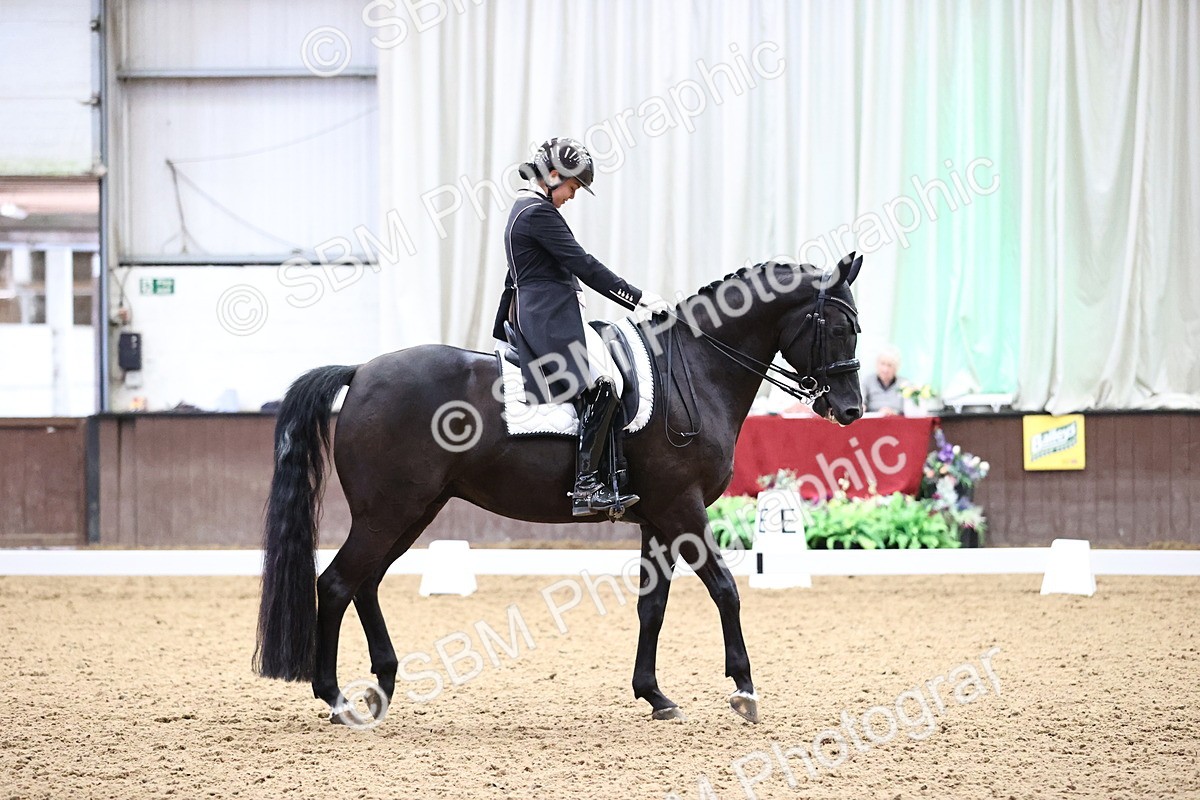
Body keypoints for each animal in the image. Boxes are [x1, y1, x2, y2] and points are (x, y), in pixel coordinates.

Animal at [254, 253, 866, 725]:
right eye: (838, 328)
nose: (851, 410)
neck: (695, 370)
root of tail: (360, 372)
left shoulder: (656, 516)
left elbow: (653, 604)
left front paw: (655, 695)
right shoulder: (683, 509)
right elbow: (725, 588)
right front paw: (743, 690)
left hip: (413, 511)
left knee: (366, 583)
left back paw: (381, 685)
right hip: (388, 511)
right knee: (336, 584)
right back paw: (337, 700)